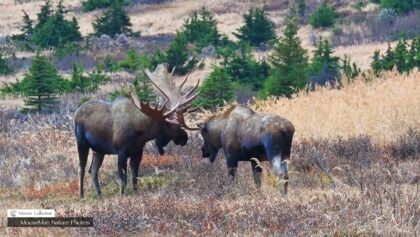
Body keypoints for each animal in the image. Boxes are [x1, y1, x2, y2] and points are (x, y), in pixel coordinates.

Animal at [74, 63, 199, 196]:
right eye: (168, 123)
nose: (184, 137)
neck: (140, 132)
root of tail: (76, 113)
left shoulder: (138, 152)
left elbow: (135, 176)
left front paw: (135, 192)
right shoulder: (121, 151)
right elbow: (122, 179)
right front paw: (122, 195)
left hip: (98, 150)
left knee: (93, 170)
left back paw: (99, 194)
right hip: (81, 143)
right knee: (81, 168)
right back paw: (81, 195)